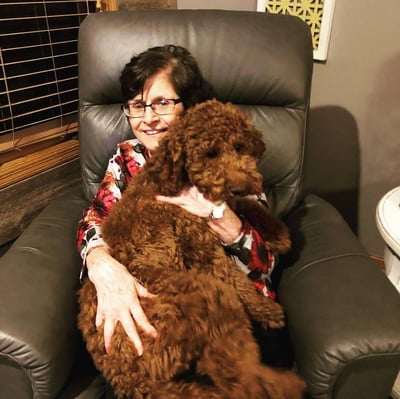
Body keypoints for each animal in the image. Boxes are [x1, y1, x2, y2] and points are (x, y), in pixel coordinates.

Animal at [76, 99, 304, 399]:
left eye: (239, 146)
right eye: (210, 153)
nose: (240, 185)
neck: (177, 175)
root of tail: (126, 377)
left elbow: (243, 207)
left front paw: (278, 233)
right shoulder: (202, 247)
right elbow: (237, 279)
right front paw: (266, 308)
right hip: (205, 295)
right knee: (236, 376)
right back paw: (282, 384)